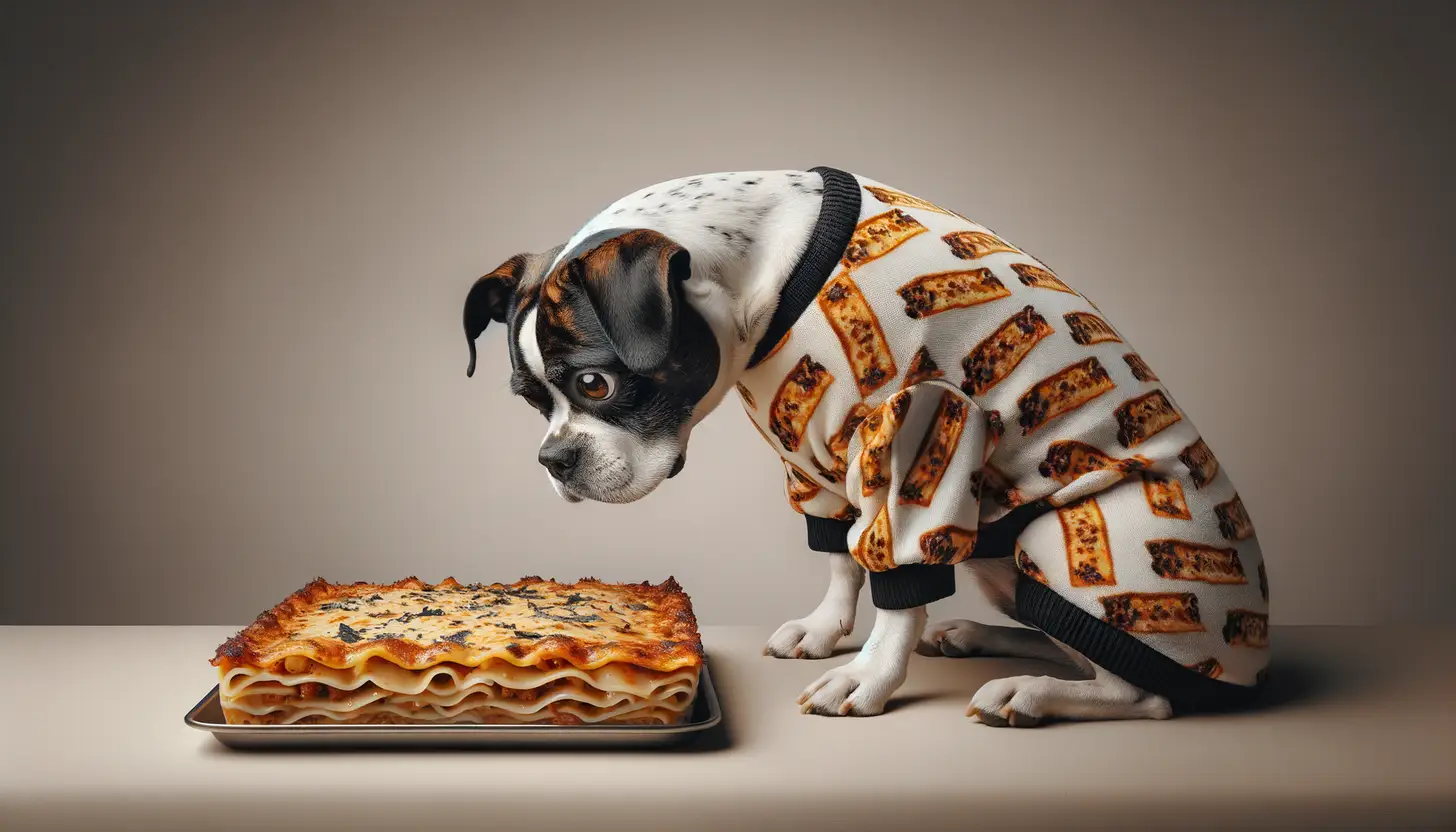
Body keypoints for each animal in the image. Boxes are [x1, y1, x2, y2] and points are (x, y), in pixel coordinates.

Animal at [460, 167, 1269, 722]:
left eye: (595, 384)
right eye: (531, 401)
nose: (553, 459)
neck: (756, 278)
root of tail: (1253, 660)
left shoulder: (924, 429)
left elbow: (897, 584)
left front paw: (869, 678)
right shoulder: (813, 451)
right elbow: (841, 556)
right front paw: (826, 631)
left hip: (1074, 541)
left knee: (1142, 692)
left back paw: (1028, 693)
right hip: (1004, 559)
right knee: (1065, 638)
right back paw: (977, 638)